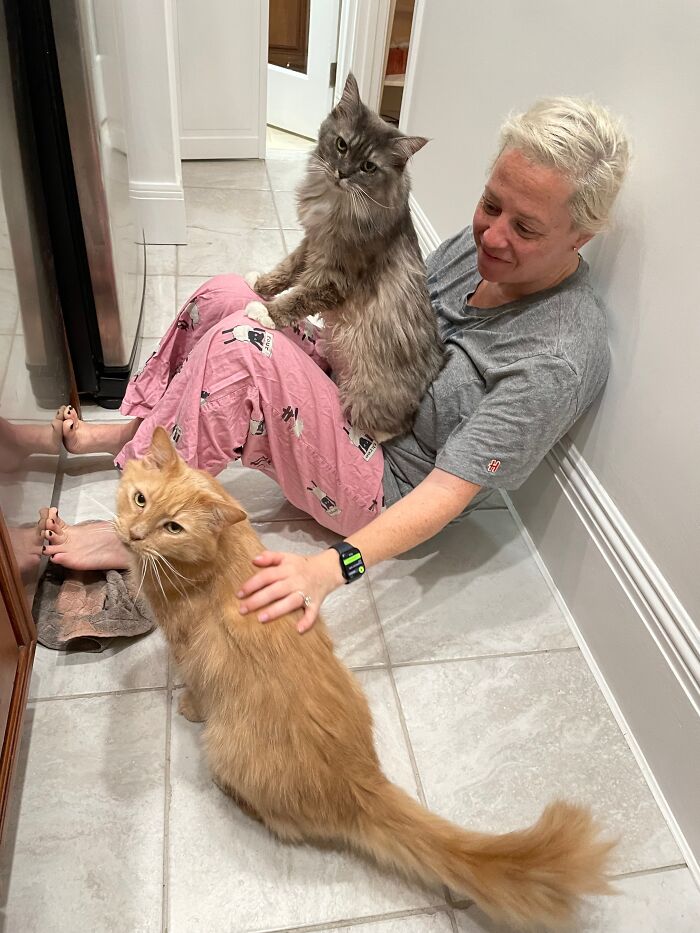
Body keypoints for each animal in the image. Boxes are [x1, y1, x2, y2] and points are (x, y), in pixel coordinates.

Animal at [115, 428, 612, 924]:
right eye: (140, 500)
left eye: (172, 527)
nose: (133, 535)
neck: (215, 560)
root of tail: (361, 781)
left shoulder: (186, 649)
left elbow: (195, 689)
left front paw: (186, 705)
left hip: (223, 748)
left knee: (276, 821)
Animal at [246, 73, 442, 440]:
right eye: (341, 145)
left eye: (368, 166)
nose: (343, 173)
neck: (335, 204)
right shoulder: (313, 243)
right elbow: (288, 270)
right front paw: (261, 284)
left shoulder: (335, 278)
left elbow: (297, 298)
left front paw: (266, 312)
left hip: (367, 394)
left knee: (385, 427)